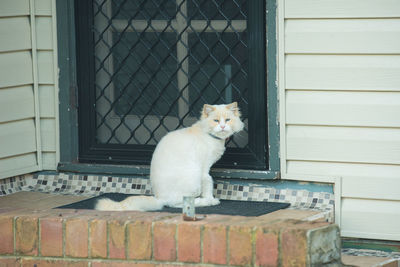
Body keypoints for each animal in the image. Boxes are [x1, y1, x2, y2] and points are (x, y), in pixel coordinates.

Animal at [95, 102, 244, 211]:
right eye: (216, 120)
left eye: (228, 120)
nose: (223, 126)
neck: (208, 135)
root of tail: (160, 198)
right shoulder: (204, 171)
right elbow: (209, 185)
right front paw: (212, 199)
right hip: (193, 178)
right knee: (179, 204)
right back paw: (204, 202)